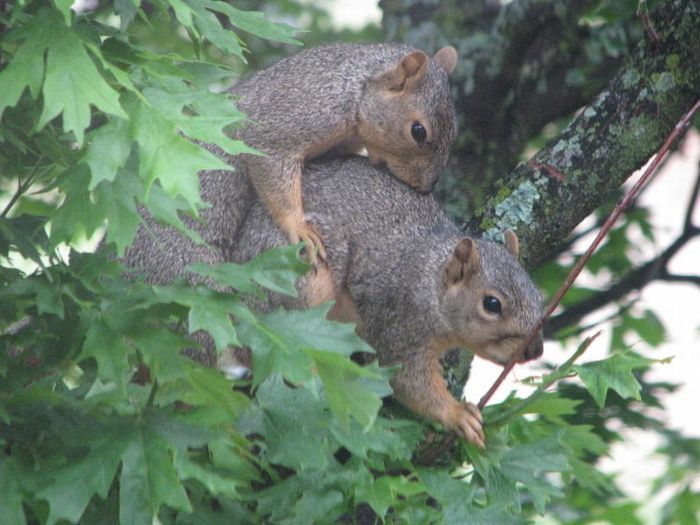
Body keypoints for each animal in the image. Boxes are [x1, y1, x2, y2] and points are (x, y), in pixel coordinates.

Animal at [221, 155, 544, 446]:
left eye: (539, 296)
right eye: (492, 304)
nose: (537, 350)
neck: (430, 281)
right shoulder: (399, 321)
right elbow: (408, 379)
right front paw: (457, 414)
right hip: (299, 287)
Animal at [227, 42, 460, 258]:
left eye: (454, 129)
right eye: (418, 132)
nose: (426, 188)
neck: (356, 91)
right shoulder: (298, 112)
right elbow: (267, 153)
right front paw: (299, 226)